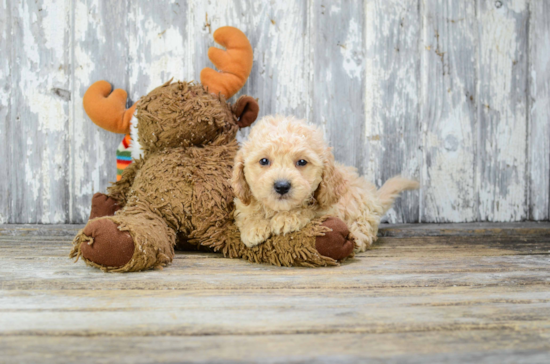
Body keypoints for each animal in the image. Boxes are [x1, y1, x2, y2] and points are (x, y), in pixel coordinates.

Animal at [232, 115, 418, 252]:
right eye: (264, 161)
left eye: (302, 162)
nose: (282, 186)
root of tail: (374, 197)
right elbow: (248, 210)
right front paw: (254, 227)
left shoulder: (329, 206)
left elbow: (309, 209)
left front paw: (288, 218)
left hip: (362, 210)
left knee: (364, 230)